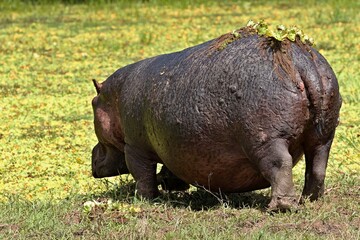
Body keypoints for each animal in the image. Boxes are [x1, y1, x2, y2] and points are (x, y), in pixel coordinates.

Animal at [90, 25, 340, 210]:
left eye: (92, 102)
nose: (92, 156)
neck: (113, 96)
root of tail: (301, 60)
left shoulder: (135, 147)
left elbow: (142, 174)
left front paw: (144, 200)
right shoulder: (173, 144)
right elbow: (170, 168)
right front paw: (171, 185)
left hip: (267, 139)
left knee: (280, 165)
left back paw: (280, 207)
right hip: (324, 135)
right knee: (317, 165)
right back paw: (310, 200)